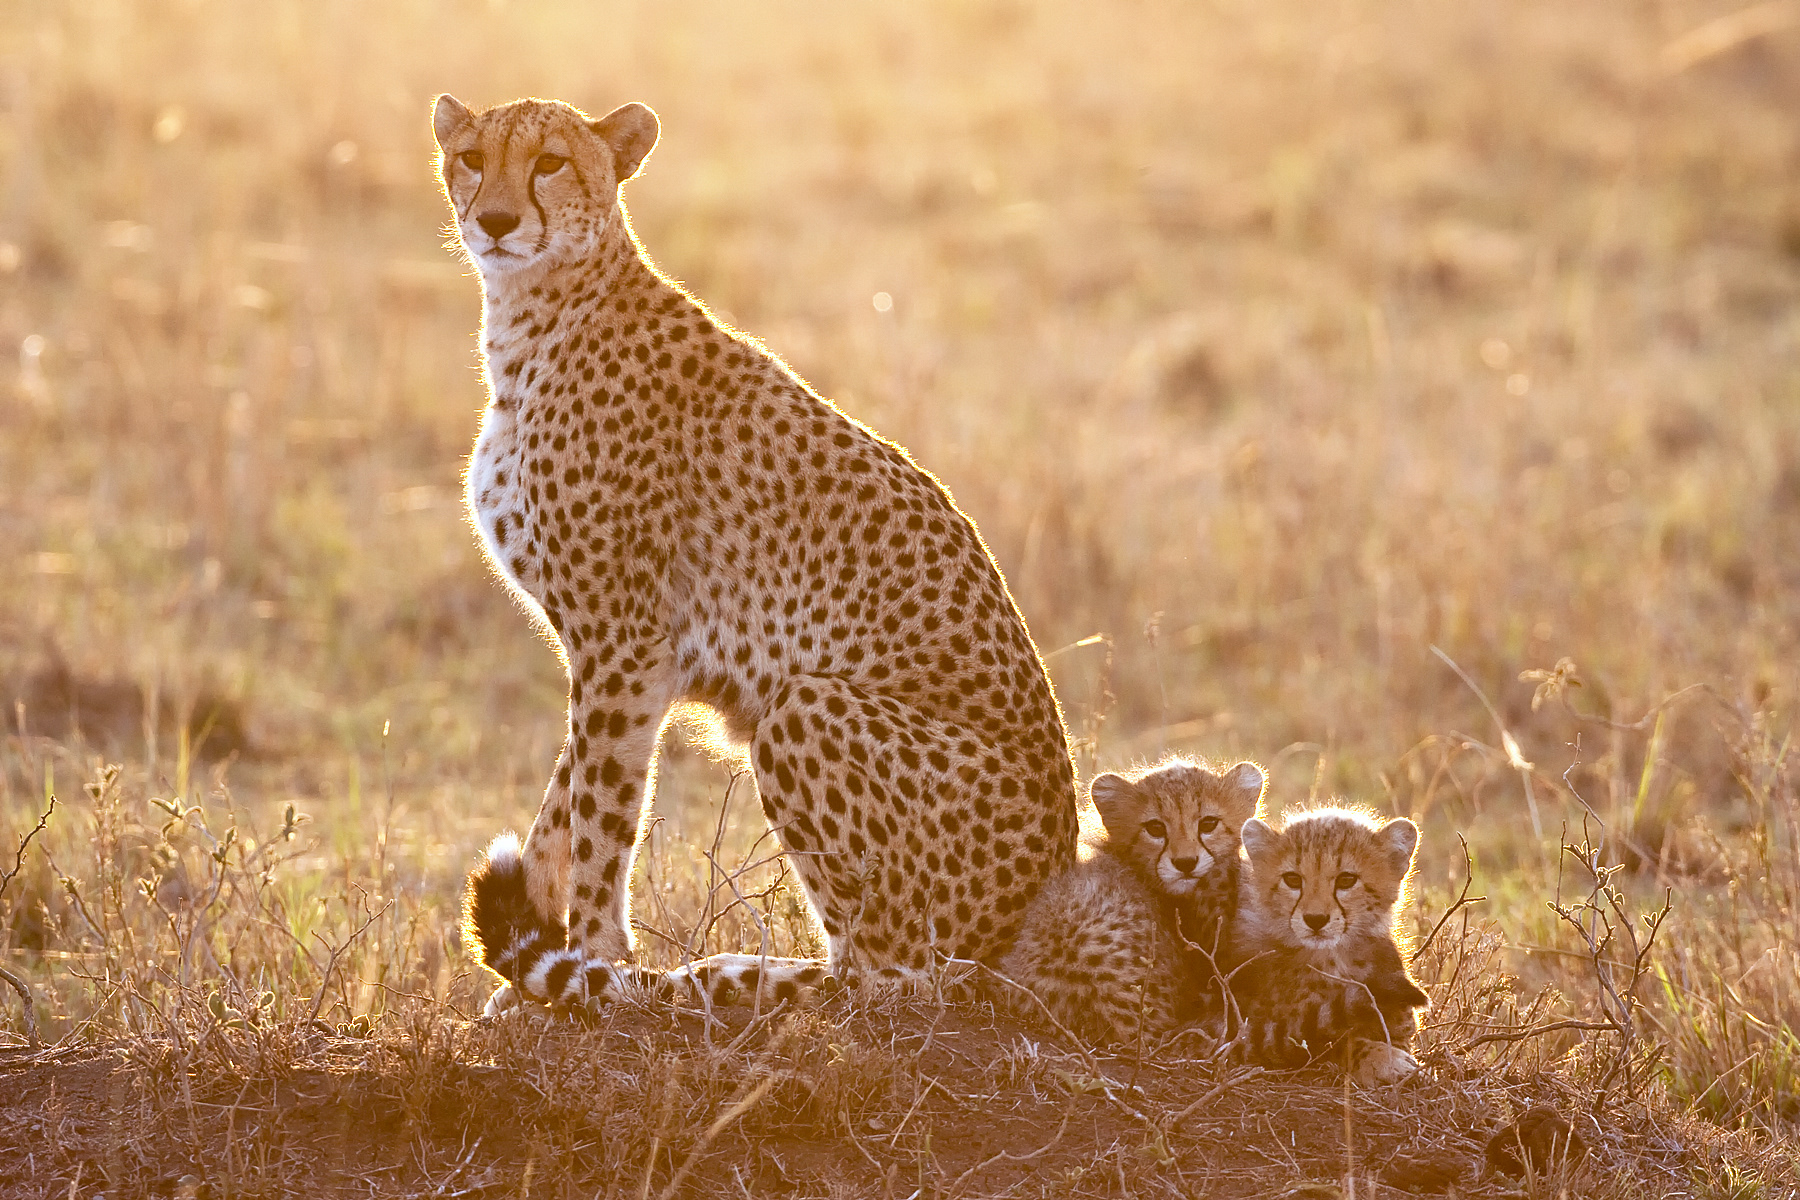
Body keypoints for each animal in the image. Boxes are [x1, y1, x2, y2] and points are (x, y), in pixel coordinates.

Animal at [432, 93, 1079, 1015]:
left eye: (551, 161)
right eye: (473, 157)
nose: (494, 220)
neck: (537, 312)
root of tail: (1047, 889)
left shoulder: (623, 640)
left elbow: (599, 814)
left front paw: (595, 966)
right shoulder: (628, 654)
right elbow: (563, 803)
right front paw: (542, 971)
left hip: (806, 708)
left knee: (883, 977)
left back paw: (717, 981)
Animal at [1225, 807, 1430, 1086]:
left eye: (1346, 880)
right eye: (1292, 879)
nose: (1315, 919)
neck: (1334, 958)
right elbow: (1333, 1043)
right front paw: (1385, 1061)